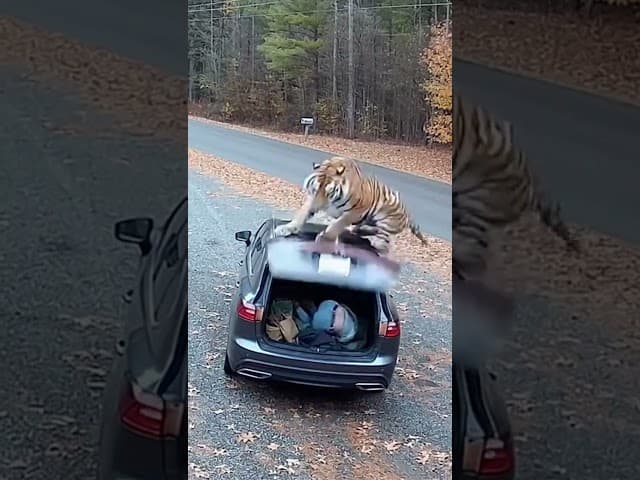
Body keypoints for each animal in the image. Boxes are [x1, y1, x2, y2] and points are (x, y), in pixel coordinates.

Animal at [273, 156, 430, 255]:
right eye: (316, 188)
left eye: (328, 192)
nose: (317, 207)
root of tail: (408, 214)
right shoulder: (312, 199)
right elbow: (301, 215)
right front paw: (285, 228)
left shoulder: (357, 210)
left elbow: (339, 224)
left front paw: (325, 238)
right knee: (362, 231)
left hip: (385, 221)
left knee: (384, 242)